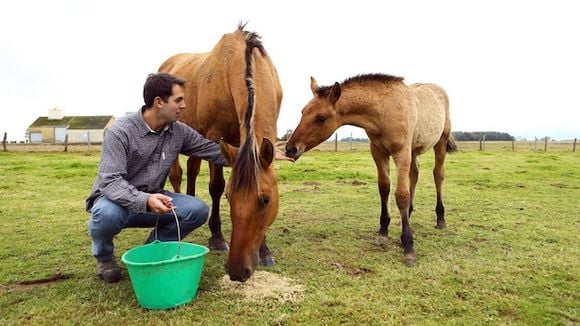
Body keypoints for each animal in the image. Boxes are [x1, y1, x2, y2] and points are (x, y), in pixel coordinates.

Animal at [160, 24, 282, 282]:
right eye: (229, 197)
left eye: (265, 200)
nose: (237, 270)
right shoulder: (216, 136)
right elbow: (215, 186)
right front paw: (217, 239)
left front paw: (265, 251)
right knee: (177, 174)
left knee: (193, 169)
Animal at [286, 75, 458, 266]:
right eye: (303, 112)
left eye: (321, 118)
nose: (290, 149)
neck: (384, 112)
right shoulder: (378, 152)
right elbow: (384, 188)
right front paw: (383, 231)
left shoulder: (401, 153)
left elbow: (401, 195)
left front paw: (408, 246)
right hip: (413, 151)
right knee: (415, 174)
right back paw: (409, 215)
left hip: (440, 142)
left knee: (438, 174)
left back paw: (440, 219)